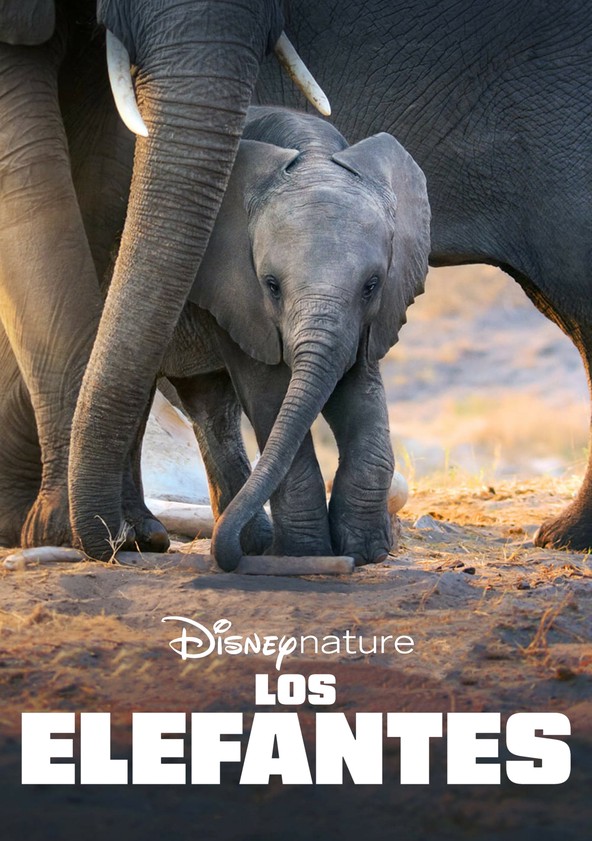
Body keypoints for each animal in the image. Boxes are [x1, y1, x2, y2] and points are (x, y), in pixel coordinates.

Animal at [152, 106, 429, 569]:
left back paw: (252, 544)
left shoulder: (371, 318)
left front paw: (365, 553)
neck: (311, 153)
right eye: (271, 285)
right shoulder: (235, 290)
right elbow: (270, 394)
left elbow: (359, 390)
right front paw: (306, 554)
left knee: (209, 406)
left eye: (371, 285)